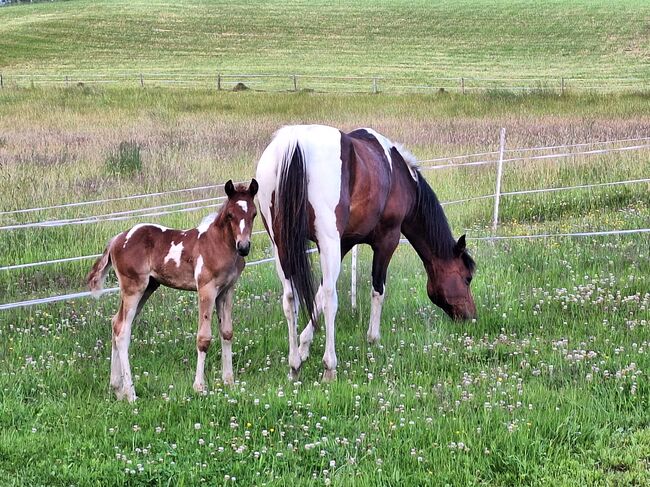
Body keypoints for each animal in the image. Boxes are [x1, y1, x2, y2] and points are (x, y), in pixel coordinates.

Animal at [86, 181, 258, 402]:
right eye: (230, 215)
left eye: (253, 214)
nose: (243, 247)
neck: (218, 244)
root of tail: (117, 239)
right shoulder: (207, 289)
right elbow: (204, 338)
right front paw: (199, 387)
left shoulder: (227, 291)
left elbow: (227, 333)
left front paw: (229, 382)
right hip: (134, 287)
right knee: (123, 330)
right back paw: (131, 394)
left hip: (148, 287)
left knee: (116, 323)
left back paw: (117, 389)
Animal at [254, 125, 476, 382]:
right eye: (467, 278)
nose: (471, 316)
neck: (401, 176)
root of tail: (296, 142)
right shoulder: (387, 240)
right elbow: (376, 290)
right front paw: (373, 339)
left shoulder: (344, 244)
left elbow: (317, 295)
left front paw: (304, 346)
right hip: (325, 241)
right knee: (331, 299)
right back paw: (329, 367)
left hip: (281, 245)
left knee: (291, 299)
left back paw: (294, 365)